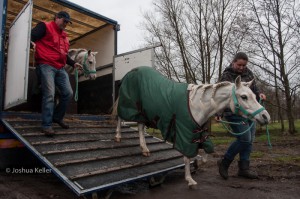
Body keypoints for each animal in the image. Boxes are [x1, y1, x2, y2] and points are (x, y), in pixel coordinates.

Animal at [111, 67, 270, 188]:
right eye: (244, 97)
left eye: (254, 95)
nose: (265, 117)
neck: (196, 106)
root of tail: (131, 72)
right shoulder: (184, 133)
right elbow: (187, 157)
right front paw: (190, 179)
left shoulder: (199, 132)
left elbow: (206, 151)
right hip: (129, 105)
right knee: (120, 118)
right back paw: (118, 136)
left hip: (143, 113)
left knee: (139, 127)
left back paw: (144, 149)